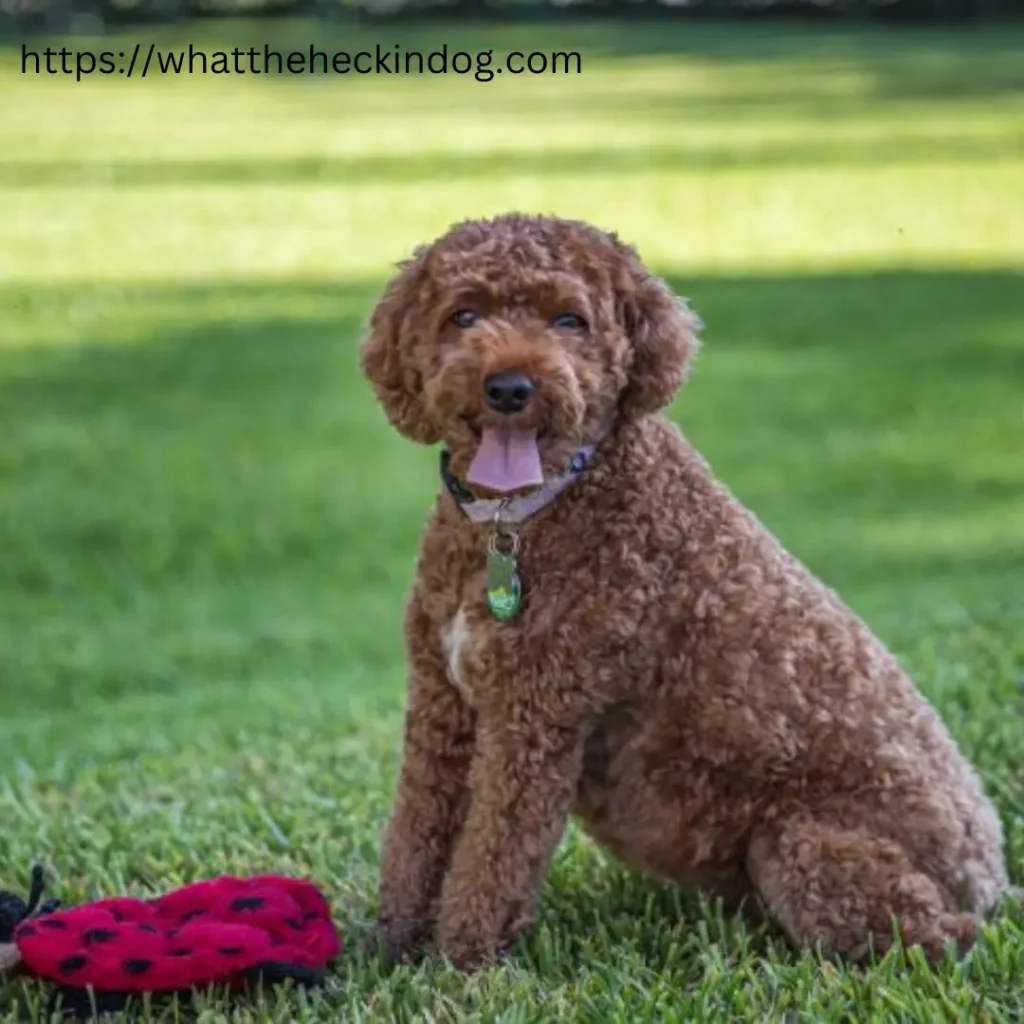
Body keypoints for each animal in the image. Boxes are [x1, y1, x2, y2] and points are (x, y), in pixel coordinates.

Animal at [358, 214, 1007, 966]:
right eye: (462, 315)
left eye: (570, 320)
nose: (510, 387)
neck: (516, 519)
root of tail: (989, 874)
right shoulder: (443, 702)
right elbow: (417, 833)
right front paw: (388, 949)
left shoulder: (535, 715)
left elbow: (494, 855)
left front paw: (459, 964)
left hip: (803, 847)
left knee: (938, 940)